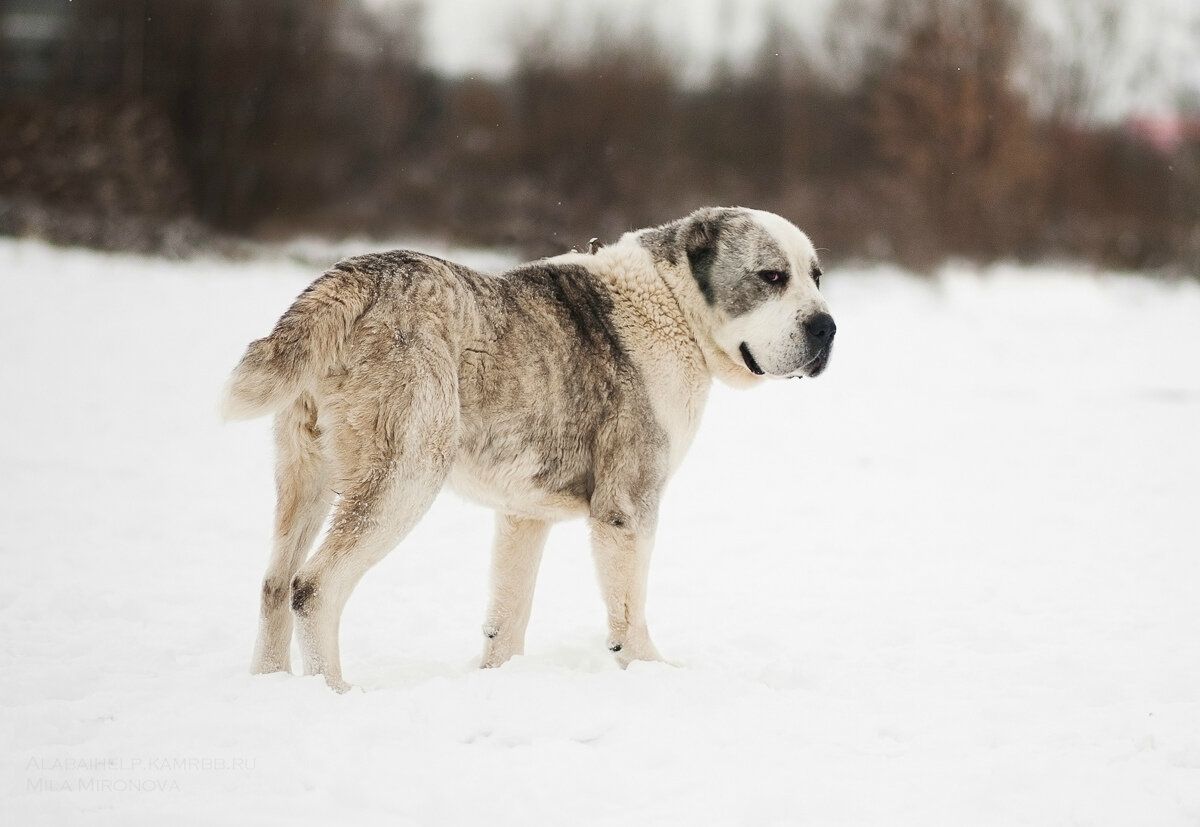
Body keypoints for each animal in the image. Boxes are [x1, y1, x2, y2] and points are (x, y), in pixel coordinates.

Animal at [229, 206, 840, 691]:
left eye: (816, 277)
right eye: (771, 276)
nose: (827, 327)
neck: (672, 305)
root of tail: (352, 279)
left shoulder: (523, 515)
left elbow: (508, 612)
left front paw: (499, 679)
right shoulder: (627, 507)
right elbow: (628, 611)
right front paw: (651, 673)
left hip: (304, 476)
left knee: (274, 584)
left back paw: (270, 688)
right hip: (406, 473)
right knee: (313, 587)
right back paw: (333, 693)